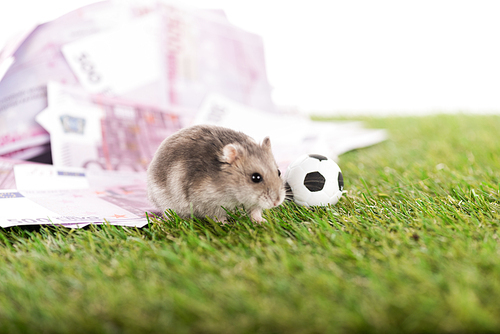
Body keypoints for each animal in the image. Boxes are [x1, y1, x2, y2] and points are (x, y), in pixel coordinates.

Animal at [146, 124, 286, 223]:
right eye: (255, 178)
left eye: (279, 172)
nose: (277, 202)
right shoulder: (209, 202)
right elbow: (218, 217)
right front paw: (226, 224)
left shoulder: (253, 202)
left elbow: (255, 211)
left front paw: (263, 221)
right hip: (165, 202)